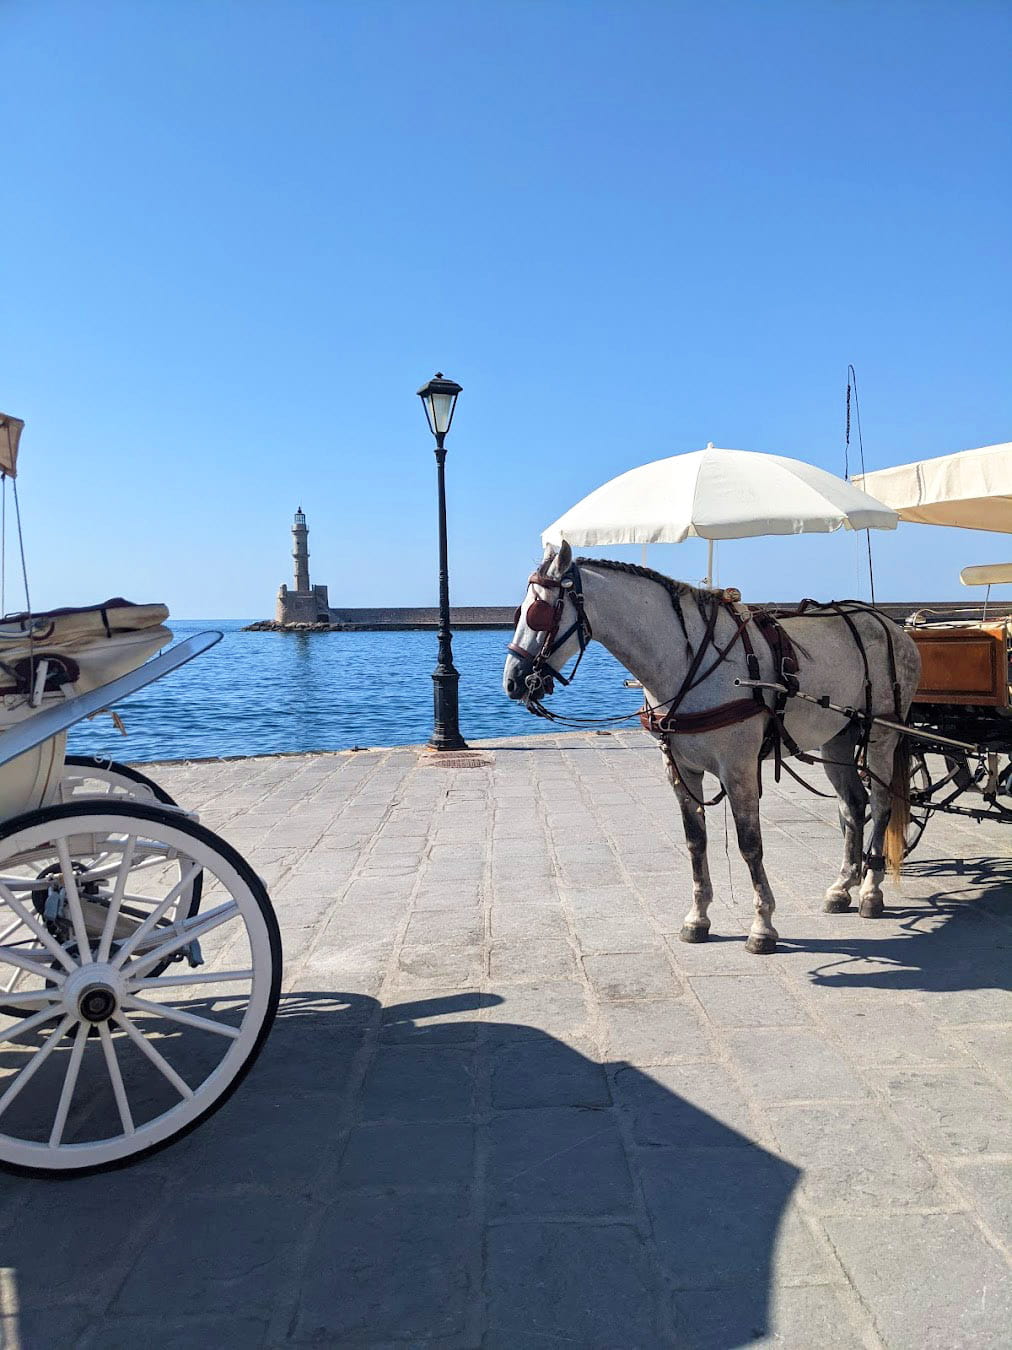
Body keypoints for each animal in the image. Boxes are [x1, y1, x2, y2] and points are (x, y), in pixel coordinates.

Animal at [504, 542, 922, 955]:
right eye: (518, 612)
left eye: (540, 614)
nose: (513, 681)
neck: (688, 661)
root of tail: (891, 625)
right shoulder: (680, 770)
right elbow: (696, 842)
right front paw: (698, 917)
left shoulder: (738, 769)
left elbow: (750, 845)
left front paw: (762, 925)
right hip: (837, 737)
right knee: (852, 806)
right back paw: (842, 887)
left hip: (881, 734)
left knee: (881, 804)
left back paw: (871, 892)